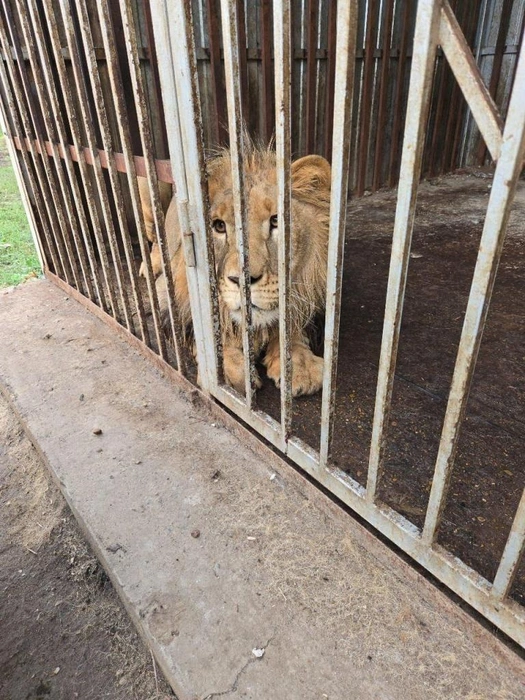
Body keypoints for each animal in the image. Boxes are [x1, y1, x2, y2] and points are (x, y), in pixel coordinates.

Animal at [139, 143, 331, 396]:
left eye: (276, 221)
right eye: (219, 226)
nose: (243, 281)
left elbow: (292, 327)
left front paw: (300, 365)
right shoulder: (168, 300)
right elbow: (203, 332)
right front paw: (229, 376)